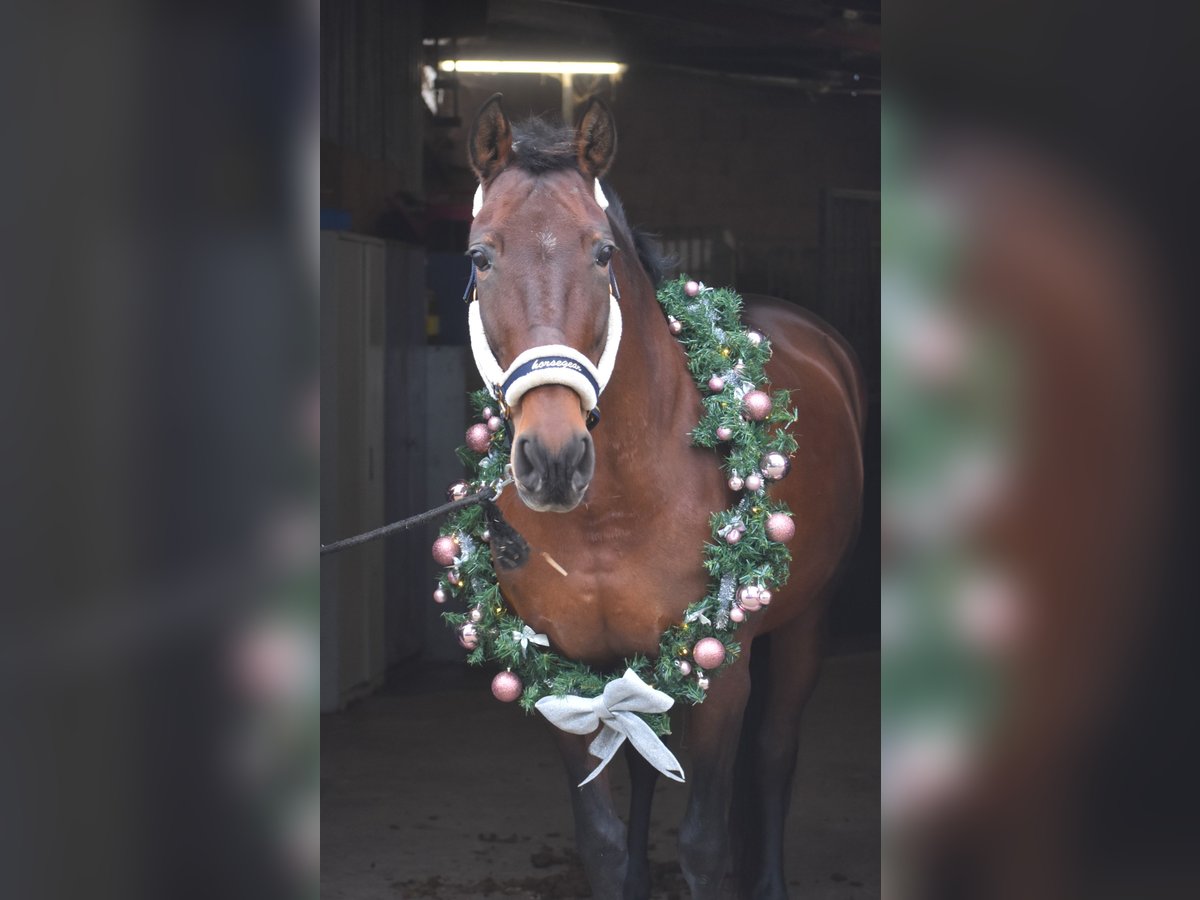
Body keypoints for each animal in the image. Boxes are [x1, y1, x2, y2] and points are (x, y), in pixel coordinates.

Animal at [463, 95, 868, 897]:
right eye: (479, 258)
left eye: (601, 254)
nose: (553, 460)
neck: (612, 514)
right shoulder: (563, 675)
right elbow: (602, 840)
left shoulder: (724, 673)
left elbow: (706, 845)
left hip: (806, 625)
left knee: (774, 755)